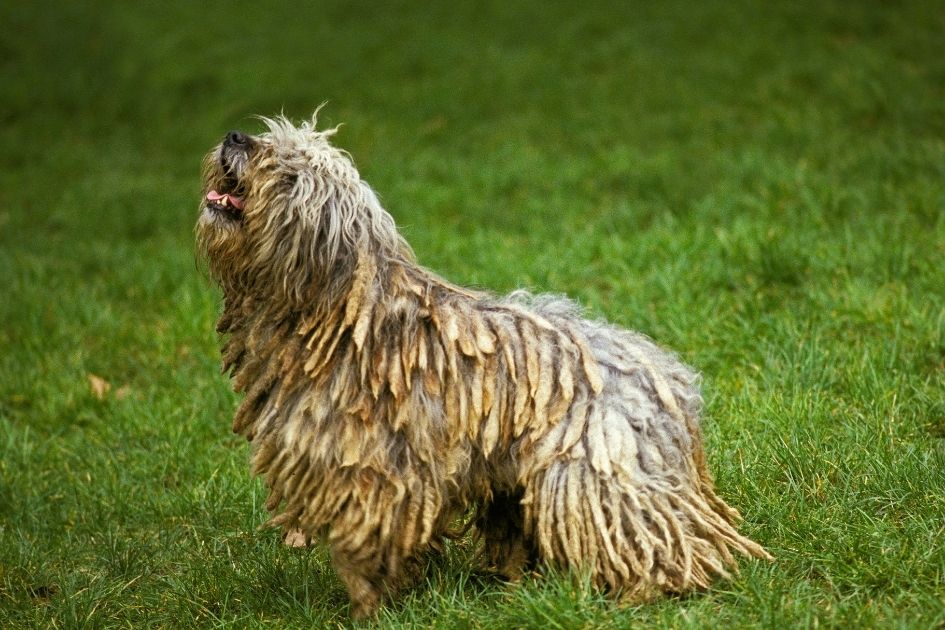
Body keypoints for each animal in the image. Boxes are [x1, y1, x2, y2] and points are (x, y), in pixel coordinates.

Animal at [195, 115, 772, 624]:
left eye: (288, 171)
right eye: (269, 140)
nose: (235, 137)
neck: (340, 315)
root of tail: (672, 385)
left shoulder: (373, 471)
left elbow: (367, 548)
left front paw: (366, 610)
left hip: (590, 475)